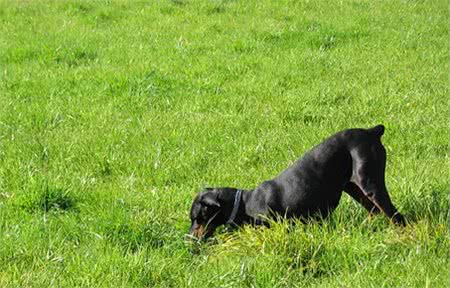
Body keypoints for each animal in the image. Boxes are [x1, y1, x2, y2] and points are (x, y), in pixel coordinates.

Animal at [188, 125, 406, 240]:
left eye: (198, 218)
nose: (188, 238)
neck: (244, 204)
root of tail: (372, 131)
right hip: (353, 187)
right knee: (375, 211)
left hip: (370, 183)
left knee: (395, 215)